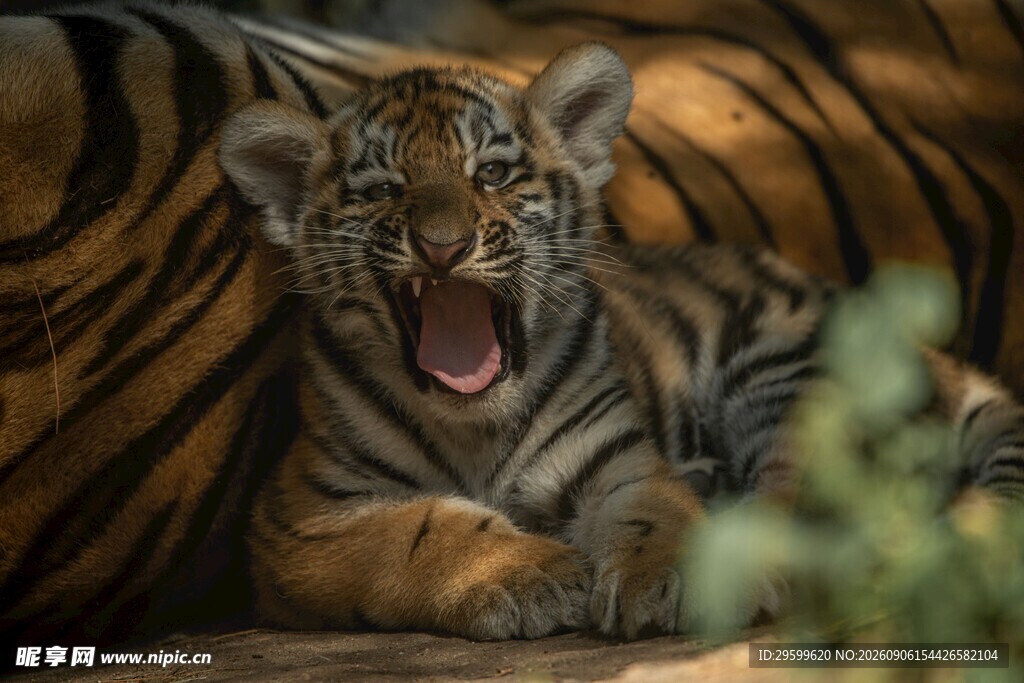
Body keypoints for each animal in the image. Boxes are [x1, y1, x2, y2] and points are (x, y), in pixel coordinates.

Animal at [218, 41, 1024, 640]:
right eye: (385, 190)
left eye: (493, 174)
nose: (442, 247)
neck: (475, 427)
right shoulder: (302, 514)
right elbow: (415, 532)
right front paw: (529, 575)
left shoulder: (620, 459)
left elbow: (653, 515)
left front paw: (668, 579)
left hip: (787, 370)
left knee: (818, 506)